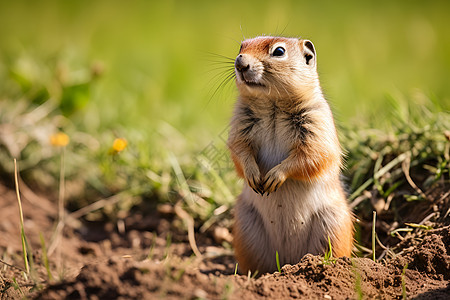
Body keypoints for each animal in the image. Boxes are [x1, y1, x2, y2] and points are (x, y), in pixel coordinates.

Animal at [229, 35, 356, 274]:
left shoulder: (316, 124)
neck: (272, 104)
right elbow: (239, 150)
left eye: (279, 51)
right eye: (241, 46)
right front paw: (254, 176)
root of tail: (288, 260)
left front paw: (273, 177)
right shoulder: (239, 124)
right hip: (245, 228)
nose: (240, 62)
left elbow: (311, 156)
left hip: (332, 226)